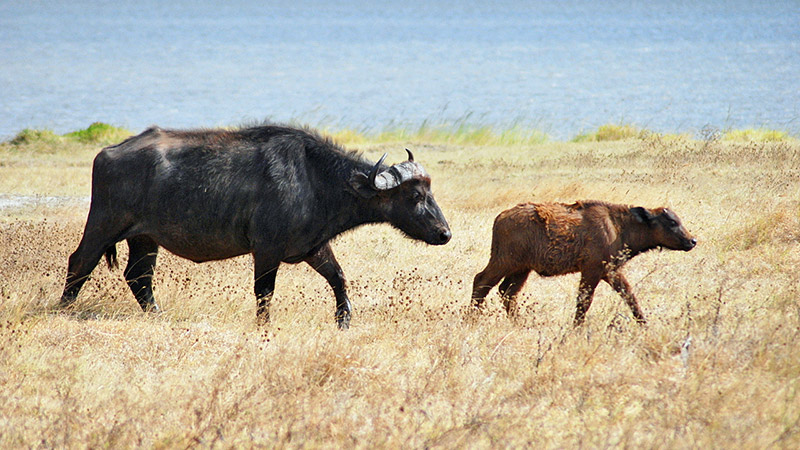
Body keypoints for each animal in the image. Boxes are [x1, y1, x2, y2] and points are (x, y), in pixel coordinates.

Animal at [61, 123, 450, 326]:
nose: (444, 233)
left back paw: (158, 314)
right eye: (415, 195)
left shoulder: (313, 247)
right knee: (80, 262)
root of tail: (109, 152)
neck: (315, 179)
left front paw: (344, 320)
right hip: (104, 223)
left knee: (139, 276)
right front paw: (263, 325)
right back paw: (63, 308)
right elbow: (264, 292)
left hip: (145, 237)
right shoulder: (266, 249)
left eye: (430, 190)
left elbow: (339, 278)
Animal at [472, 200, 696, 324]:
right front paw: (576, 328)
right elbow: (584, 301)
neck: (618, 225)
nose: (692, 241)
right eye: (672, 222)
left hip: (521, 270)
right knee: (481, 282)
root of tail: (501, 217)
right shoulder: (592, 271)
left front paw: (644, 323)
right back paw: (472, 317)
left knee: (507, 292)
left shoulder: (611, 272)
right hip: (503, 263)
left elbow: (629, 295)